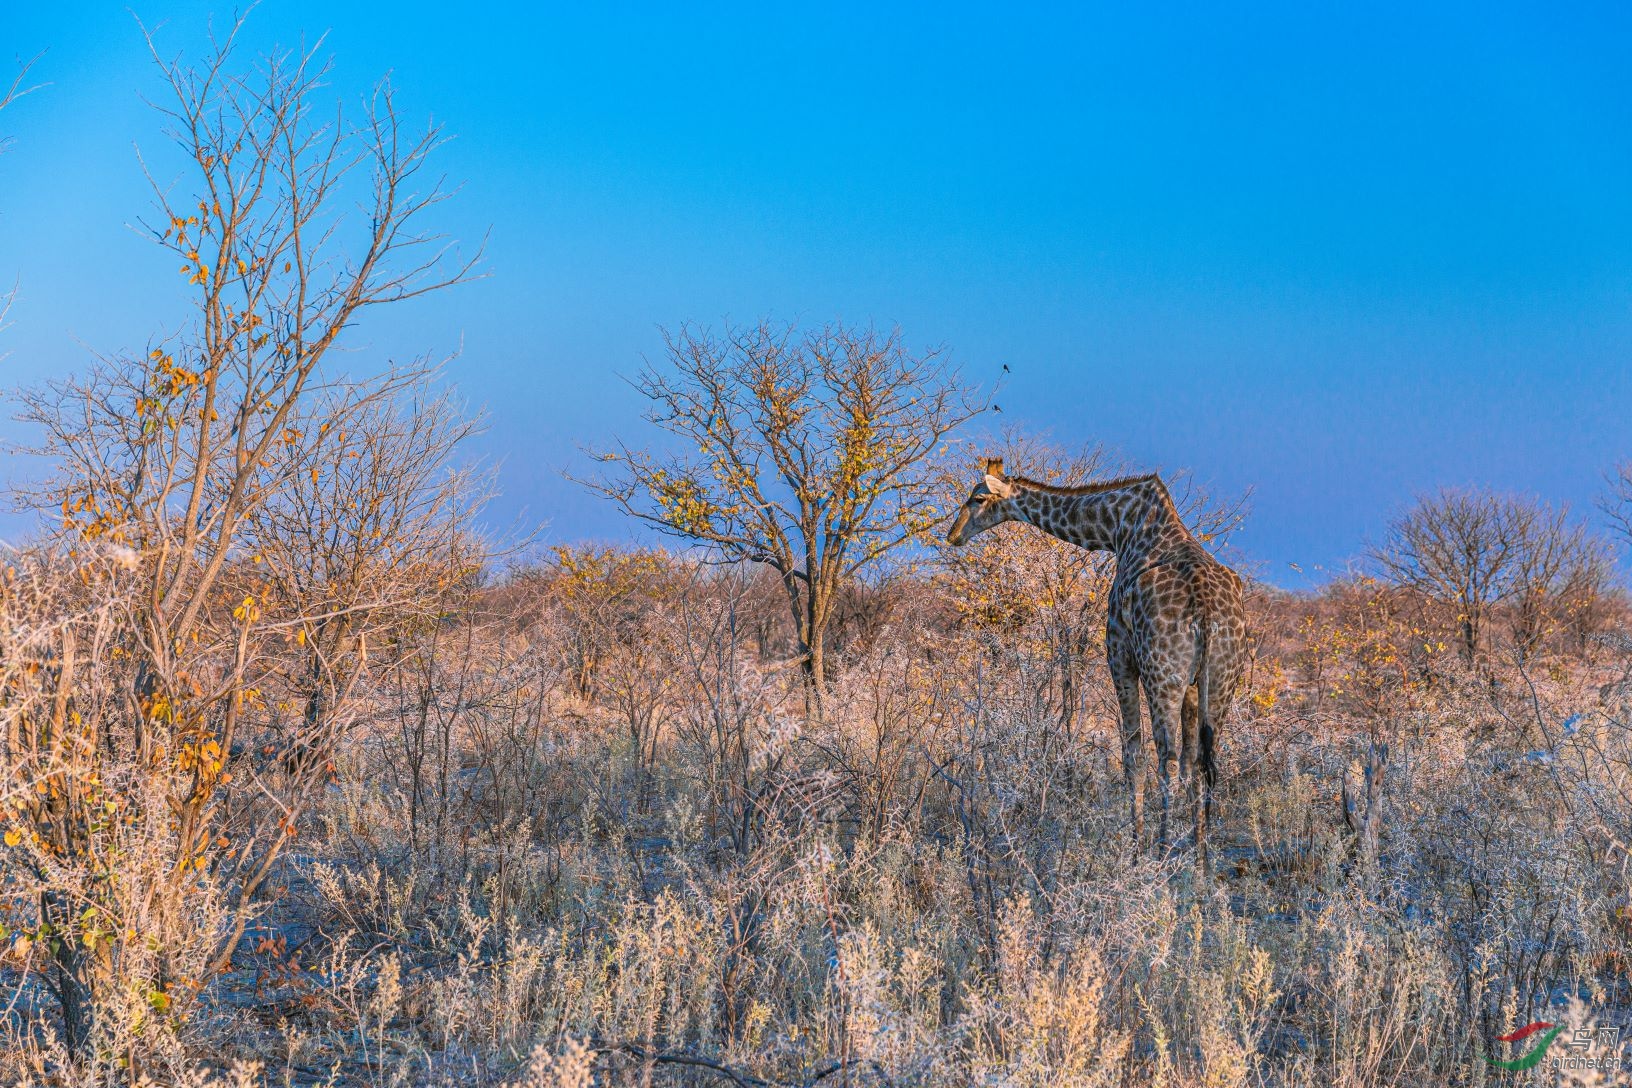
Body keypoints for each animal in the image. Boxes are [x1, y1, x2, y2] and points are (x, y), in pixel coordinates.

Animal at [946, 456, 1246, 854]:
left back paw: (1163, 852)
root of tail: (1206, 611)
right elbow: (1189, 762)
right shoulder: (1194, 687)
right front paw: (1188, 849)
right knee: (1203, 762)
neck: (1115, 526)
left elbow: (1133, 756)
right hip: (1223, 681)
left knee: (1165, 757)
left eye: (978, 499)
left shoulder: (1119, 654)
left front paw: (1136, 847)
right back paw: (1201, 858)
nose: (953, 534)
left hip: (1163, 677)